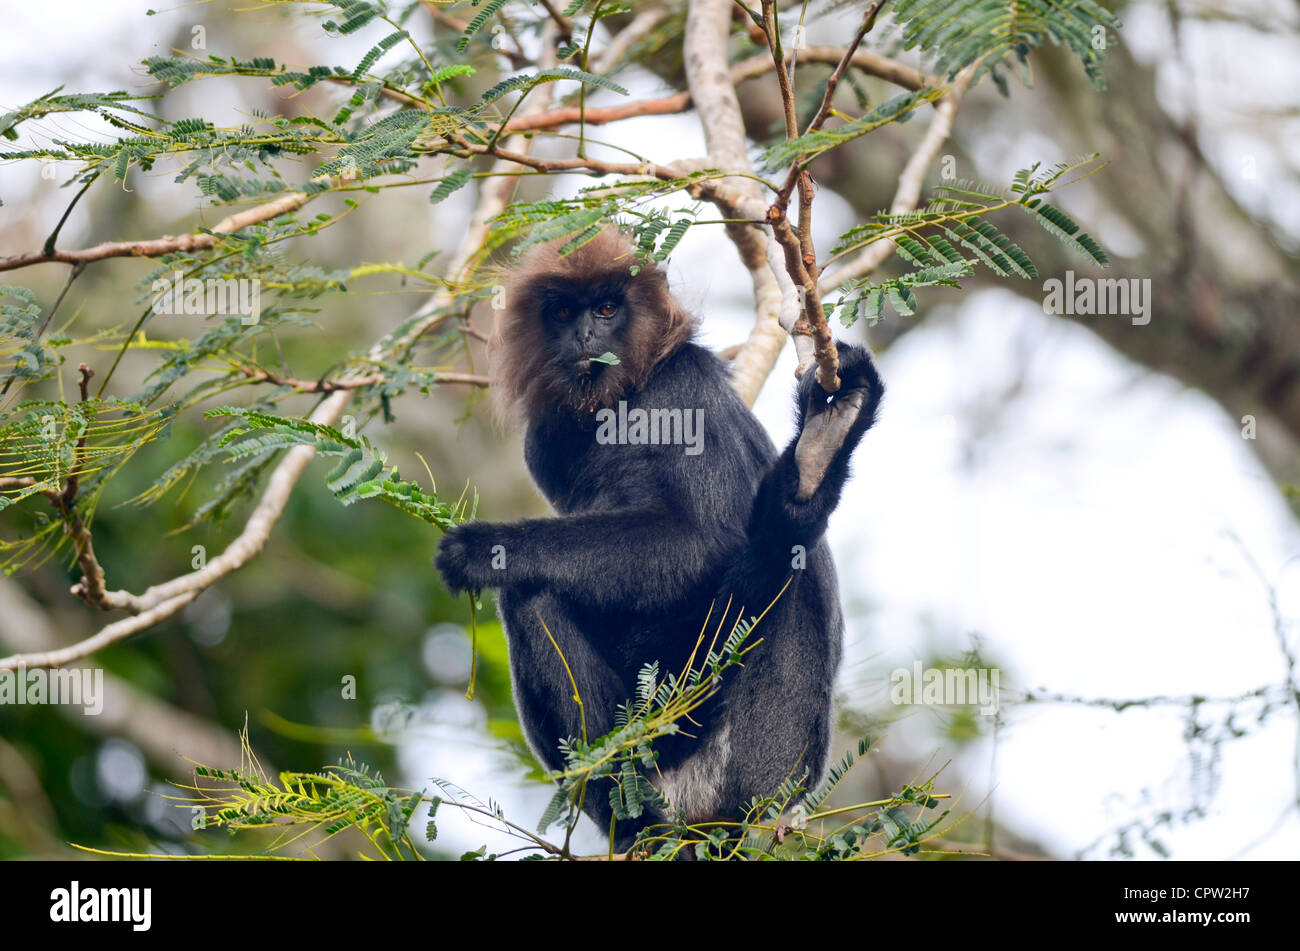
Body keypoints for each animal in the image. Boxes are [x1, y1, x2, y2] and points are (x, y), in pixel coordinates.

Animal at [436, 226, 883, 852]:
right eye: (563, 312)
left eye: (606, 309)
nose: (586, 335)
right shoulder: (543, 440)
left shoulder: (682, 388)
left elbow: (703, 541)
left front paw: (482, 549)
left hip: (728, 751)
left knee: (532, 594)